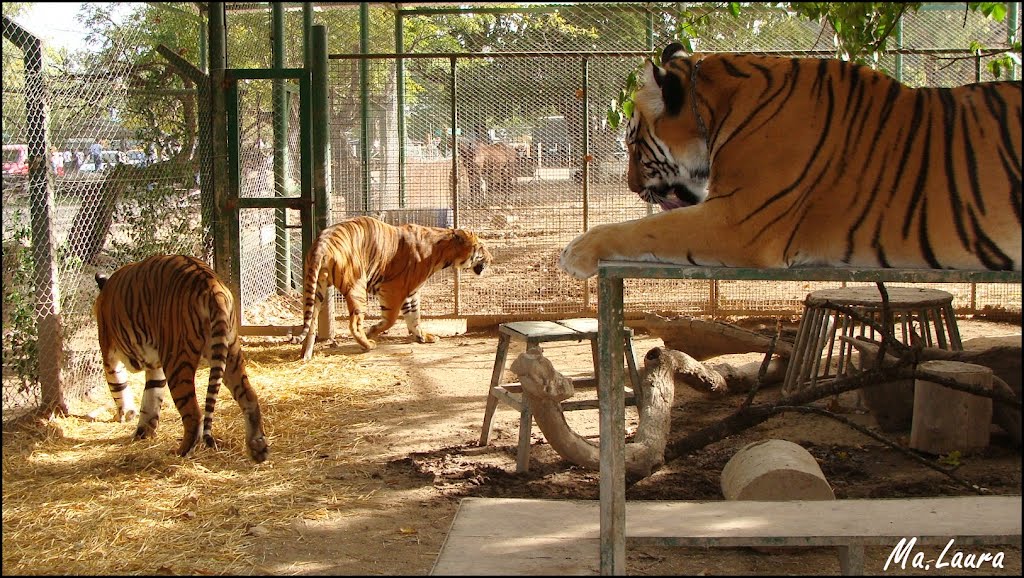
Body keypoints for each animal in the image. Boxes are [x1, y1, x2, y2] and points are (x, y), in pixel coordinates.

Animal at [94, 255, 270, 463]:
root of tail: (212, 284)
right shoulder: (155, 366)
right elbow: (151, 397)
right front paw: (143, 431)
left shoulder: (109, 353)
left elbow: (119, 387)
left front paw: (127, 415)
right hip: (230, 352)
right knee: (249, 396)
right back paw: (258, 448)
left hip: (177, 361)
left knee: (194, 414)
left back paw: (181, 452)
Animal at [292, 214, 491, 358]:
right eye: (482, 248)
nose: (491, 259)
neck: (442, 253)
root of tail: (322, 242)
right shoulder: (393, 289)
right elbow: (392, 319)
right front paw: (372, 331)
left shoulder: (411, 293)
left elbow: (414, 317)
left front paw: (423, 337)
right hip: (357, 287)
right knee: (354, 323)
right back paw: (368, 345)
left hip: (316, 289)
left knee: (311, 323)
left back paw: (305, 354)